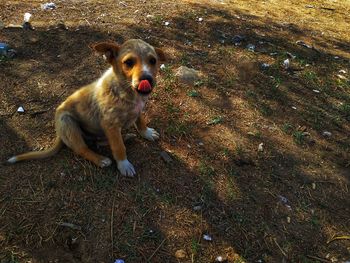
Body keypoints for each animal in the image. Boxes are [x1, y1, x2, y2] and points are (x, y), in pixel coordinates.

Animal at [7, 39, 166, 178]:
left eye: (153, 61)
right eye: (128, 62)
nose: (147, 79)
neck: (126, 91)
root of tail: (59, 134)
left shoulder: (136, 111)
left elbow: (140, 121)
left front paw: (147, 133)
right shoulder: (110, 125)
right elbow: (118, 148)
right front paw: (124, 165)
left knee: (100, 142)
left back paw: (126, 137)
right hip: (68, 123)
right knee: (82, 149)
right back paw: (101, 159)